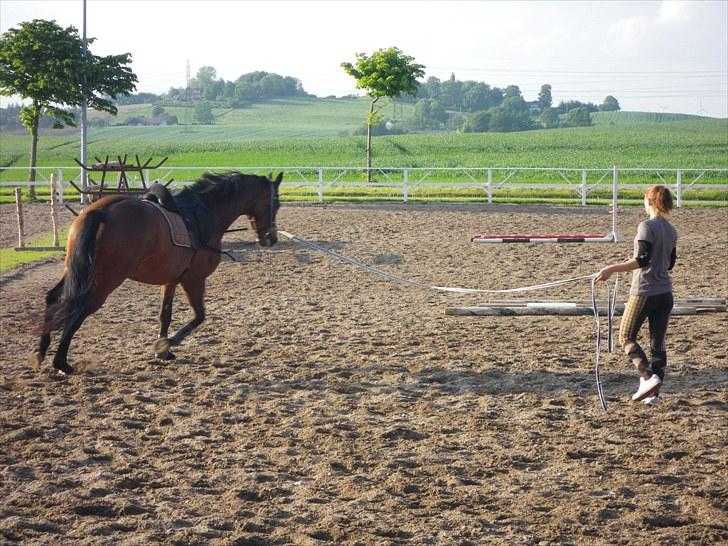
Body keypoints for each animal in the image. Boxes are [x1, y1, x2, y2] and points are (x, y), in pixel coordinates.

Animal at [27, 171, 282, 374]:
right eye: (275, 205)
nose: (271, 238)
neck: (206, 212)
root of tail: (102, 210)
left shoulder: (171, 280)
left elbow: (165, 315)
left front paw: (163, 350)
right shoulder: (194, 279)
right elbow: (199, 316)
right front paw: (166, 344)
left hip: (77, 272)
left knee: (53, 297)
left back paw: (41, 352)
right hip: (105, 281)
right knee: (77, 312)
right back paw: (61, 363)